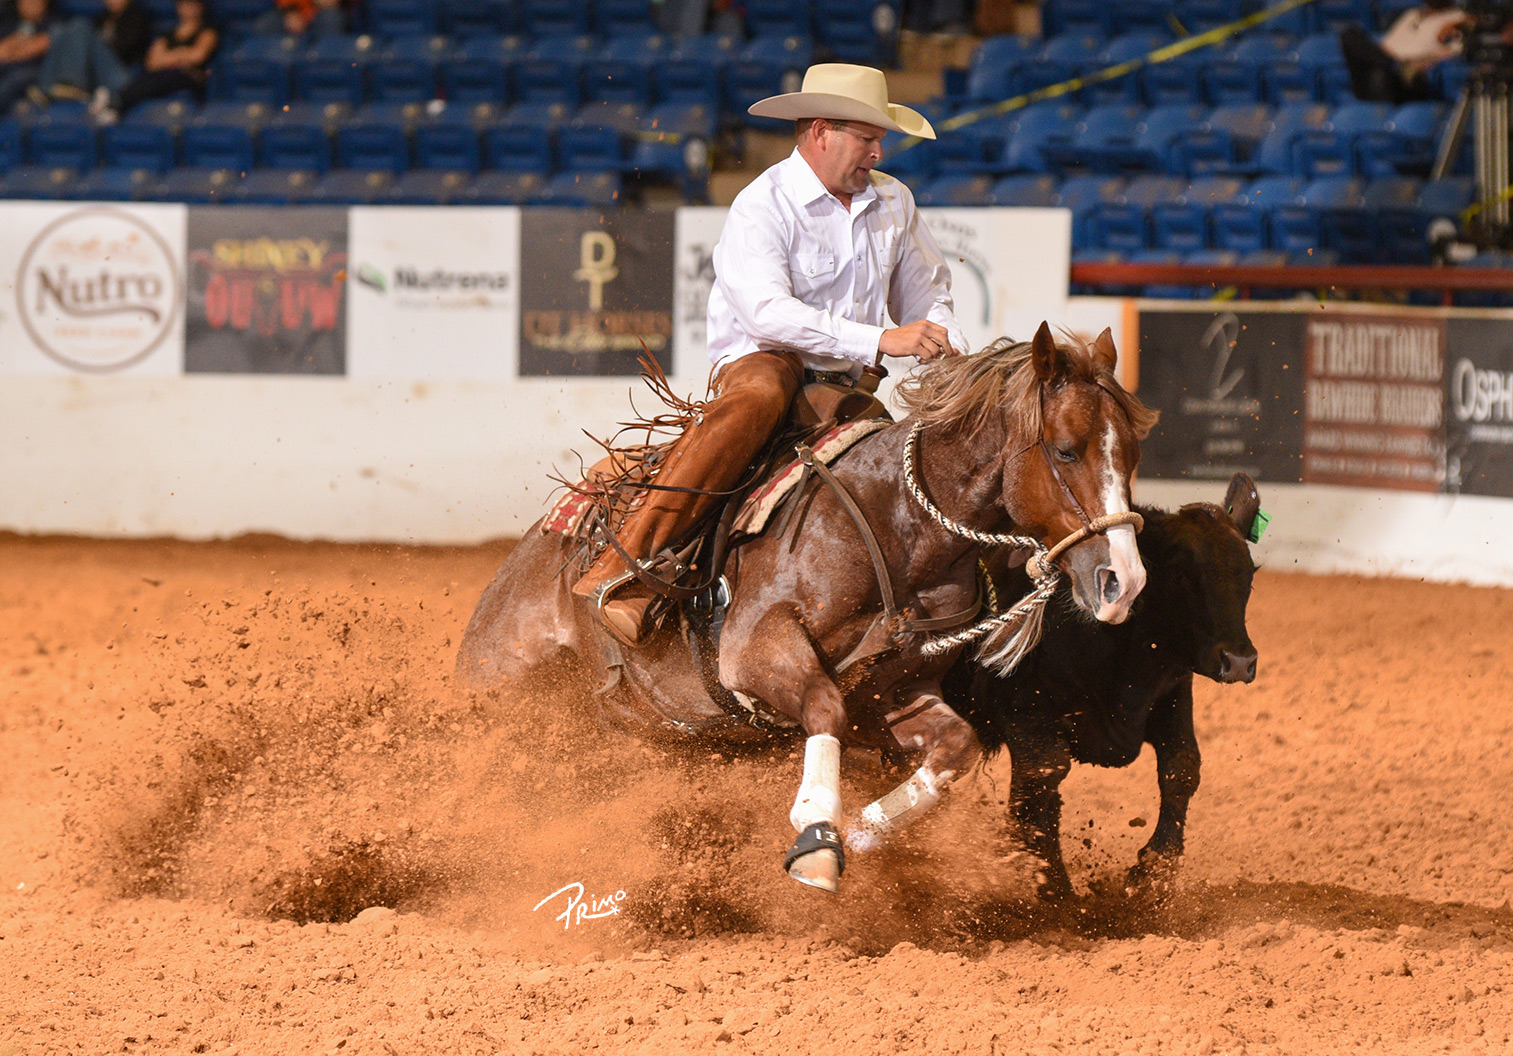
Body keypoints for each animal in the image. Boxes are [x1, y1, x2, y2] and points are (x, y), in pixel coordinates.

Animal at [456, 320, 1155, 889]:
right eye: (1065, 449)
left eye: (1133, 453)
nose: (1123, 582)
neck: (897, 529)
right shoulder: (755, 650)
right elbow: (822, 704)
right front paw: (818, 841)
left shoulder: (892, 696)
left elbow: (954, 746)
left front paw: (865, 832)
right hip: (502, 691)